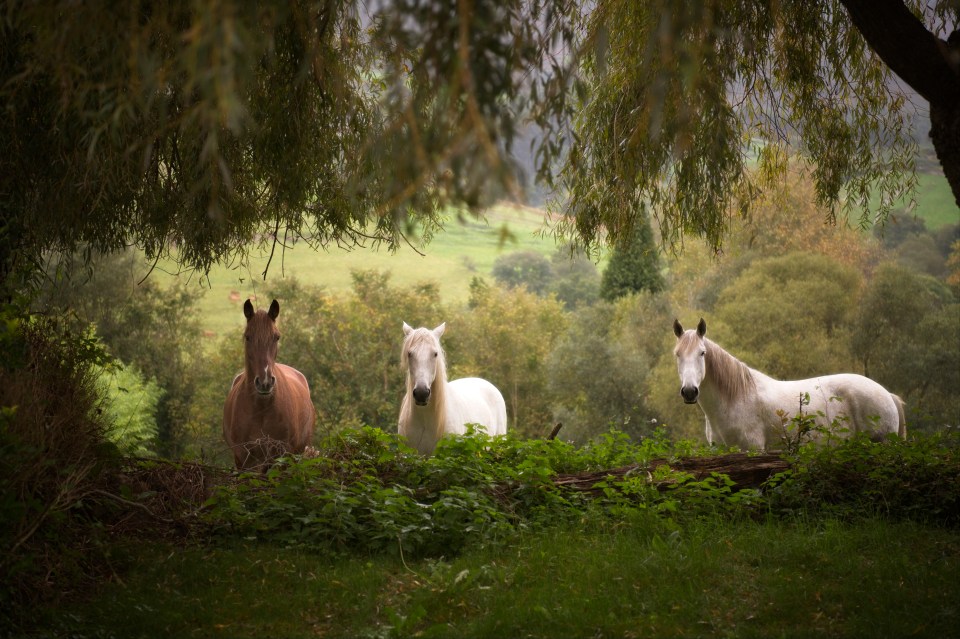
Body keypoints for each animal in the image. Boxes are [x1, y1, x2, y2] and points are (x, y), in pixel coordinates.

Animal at [223, 299, 315, 470]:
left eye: (276, 337)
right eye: (247, 337)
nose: (264, 382)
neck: (261, 408)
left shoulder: (282, 456)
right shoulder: (243, 459)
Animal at [672, 318, 906, 451]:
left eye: (702, 353)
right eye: (677, 354)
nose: (690, 392)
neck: (734, 399)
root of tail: (888, 395)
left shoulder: (753, 450)